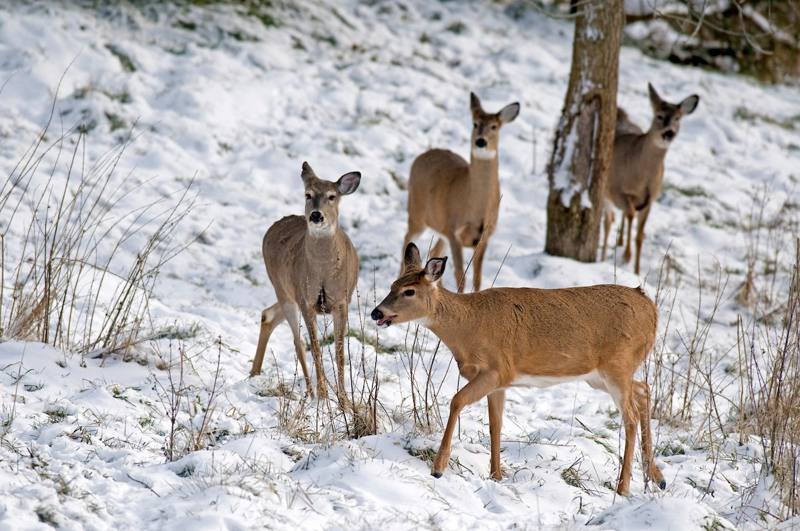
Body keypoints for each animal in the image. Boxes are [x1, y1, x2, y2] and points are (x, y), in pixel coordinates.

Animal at [250, 162, 361, 402]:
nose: (316, 215)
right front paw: (324, 395)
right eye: (308, 194)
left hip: (287, 293)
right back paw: (310, 392)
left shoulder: (342, 301)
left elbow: (340, 351)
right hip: (284, 290)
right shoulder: (307, 301)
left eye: (332, 196)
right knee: (297, 341)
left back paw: (254, 373)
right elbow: (316, 348)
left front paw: (344, 400)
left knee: (268, 315)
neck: (324, 272)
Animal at [371, 243, 666, 496]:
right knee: (643, 390)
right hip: (601, 375)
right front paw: (496, 475)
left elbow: (456, 401)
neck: (468, 327)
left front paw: (438, 468)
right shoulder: (499, 383)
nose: (376, 312)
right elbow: (495, 425)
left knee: (629, 417)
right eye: (392, 284)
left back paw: (624, 487)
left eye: (409, 291)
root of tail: (651, 307)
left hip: (617, 366)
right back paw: (657, 477)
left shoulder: (497, 369)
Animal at [402, 92, 519, 293]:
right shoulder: (453, 231)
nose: (480, 141)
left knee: (433, 251)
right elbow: (460, 276)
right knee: (407, 241)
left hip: (440, 227)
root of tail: (423, 155)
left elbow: (477, 278)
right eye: (474, 123)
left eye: (494, 126)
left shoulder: (484, 235)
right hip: (417, 212)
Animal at [602, 83, 699, 274]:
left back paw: (620, 241)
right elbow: (630, 213)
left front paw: (637, 270)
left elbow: (639, 236)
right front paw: (626, 256)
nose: (669, 133)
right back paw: (602, 254)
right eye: (659, 116)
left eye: (678, 119)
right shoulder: (615, 190)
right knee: (607, 221)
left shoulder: (650, 200)